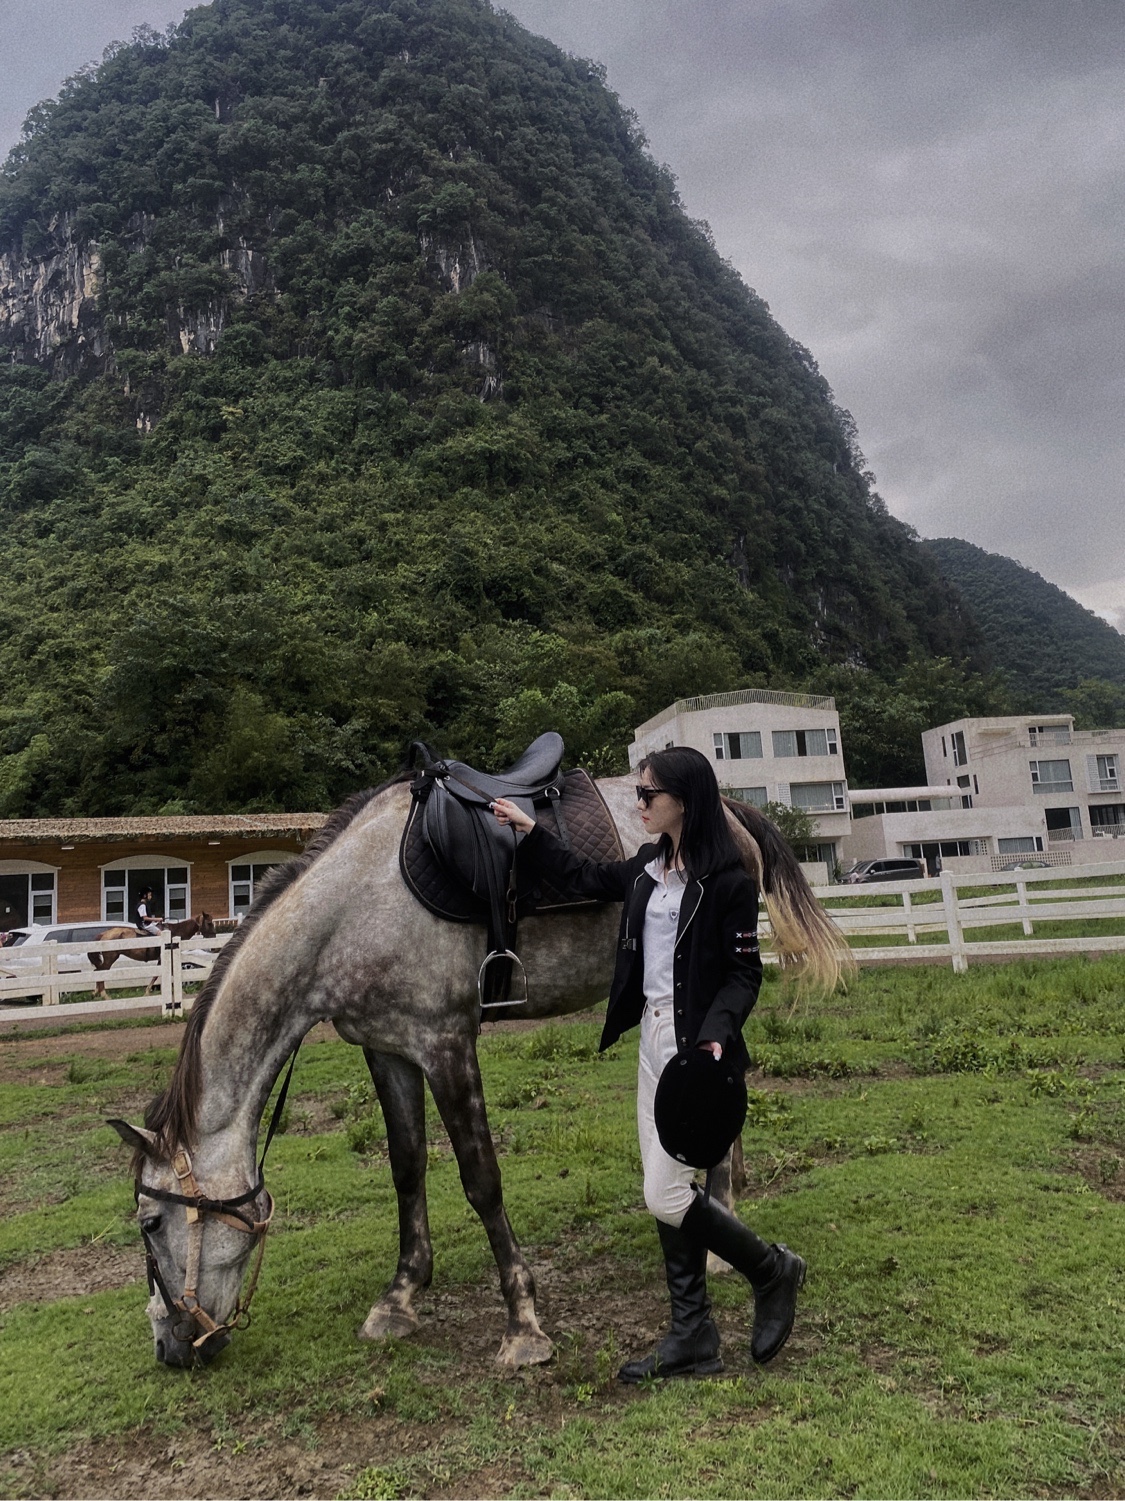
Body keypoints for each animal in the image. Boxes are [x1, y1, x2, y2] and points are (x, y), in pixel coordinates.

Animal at [109, 774, 848, 1369]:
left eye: (149, 1223)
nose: (170, 1346)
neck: (350, 911)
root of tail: (731, 809)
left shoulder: (445, 1043)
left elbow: (480, 1179)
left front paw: (523, 1325)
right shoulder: (389, 1050)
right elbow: (406, 1168)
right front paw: (400, 1297)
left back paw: (720, 1234)